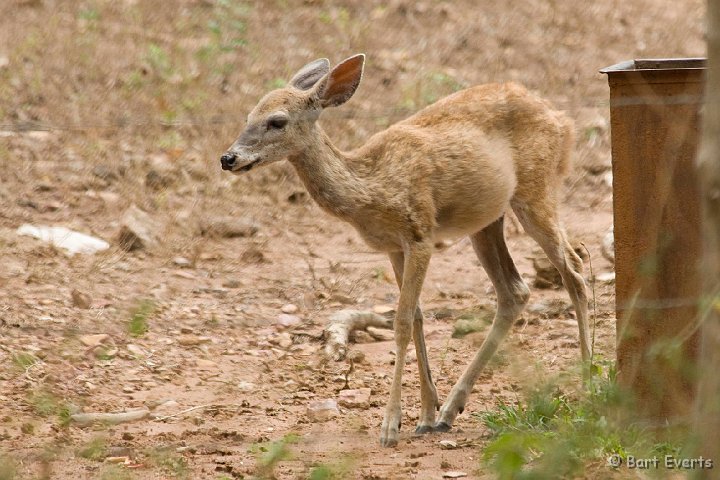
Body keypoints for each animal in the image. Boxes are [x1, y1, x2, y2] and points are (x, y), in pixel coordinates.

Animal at [221, 54, 592, 448]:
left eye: (277, 121)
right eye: (247, 116)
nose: (228, 158)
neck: (371, 188)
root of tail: (563, 120)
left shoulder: (420, 235)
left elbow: (400, 322)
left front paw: (390, 426)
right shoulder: (393, 248)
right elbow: (416, 317)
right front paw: (426, 415)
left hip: (537, 190)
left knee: (573, 270)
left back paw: (590, 383)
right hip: (487, 219)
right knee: (515, 290)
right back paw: (449, 412)